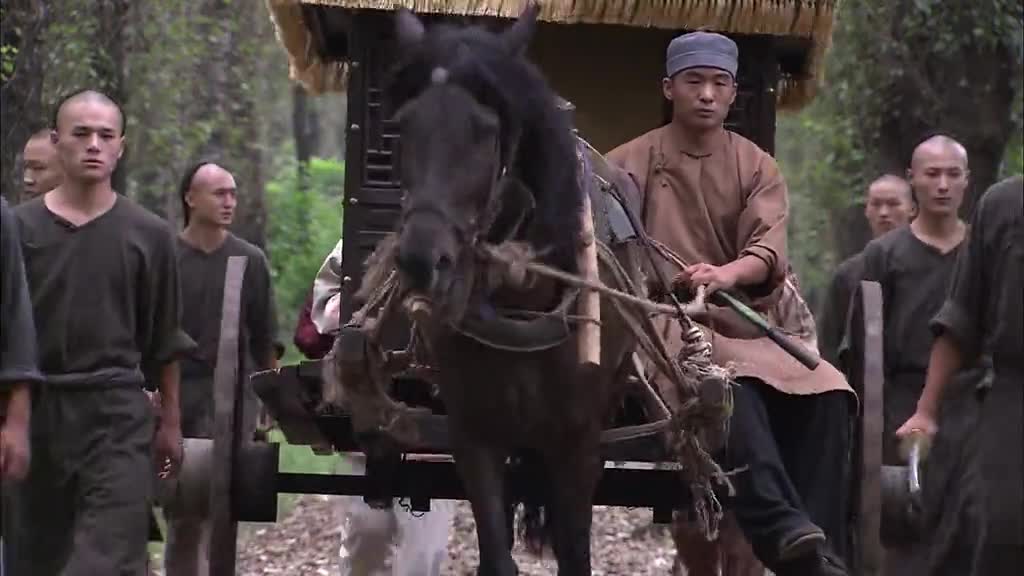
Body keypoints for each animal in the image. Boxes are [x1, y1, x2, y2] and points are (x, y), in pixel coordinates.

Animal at [383, 4, 643, 574]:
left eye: (485, 131)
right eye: (403, 125)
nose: (421, 260)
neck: (519, 295)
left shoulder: (578, 441)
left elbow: (575, 553)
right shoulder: (474, 433)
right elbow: (497, 556)